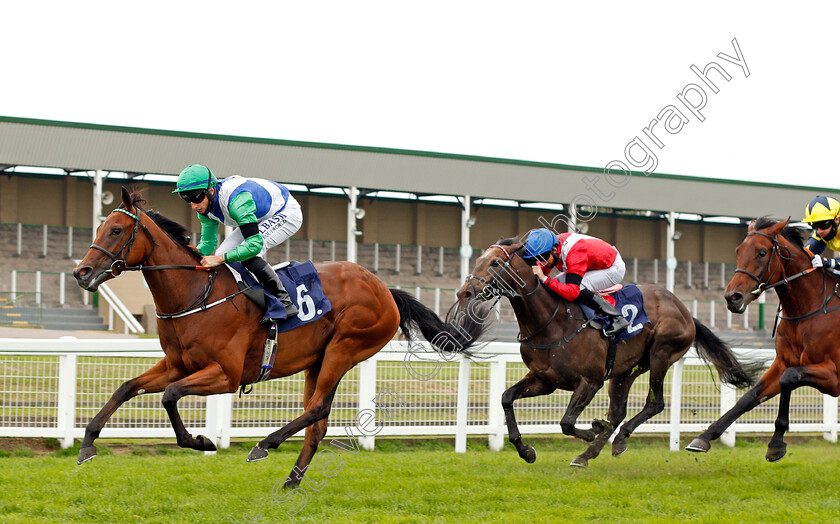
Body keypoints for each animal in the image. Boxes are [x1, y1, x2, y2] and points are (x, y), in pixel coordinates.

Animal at [73, 188, 492, 488]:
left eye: (115, 230)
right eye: (98, 228)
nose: (81, 272)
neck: (196, 295)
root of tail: (385, 289)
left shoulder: (226, 375)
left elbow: (170, 395)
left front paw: (201, 441)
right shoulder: (177, 364)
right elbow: (126, 387)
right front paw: (88, 443)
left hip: (346, 348)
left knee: (318, 409)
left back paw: (265, 444)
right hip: (317, 360)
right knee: (318, 420)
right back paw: (292, 479)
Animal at [456, 237, 756, 466]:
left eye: (495, 262)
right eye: (478, 259)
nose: (465, 292)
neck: (551, 322)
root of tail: (685, 311)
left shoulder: (590, 381)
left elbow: (566, 422)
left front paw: (593, 429)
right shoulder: (544, 380)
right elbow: (506, 398)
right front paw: (526, 450)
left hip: (661, 354)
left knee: (654, 403)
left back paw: (616, 439)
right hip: (626, 370)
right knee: (619, 411)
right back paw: (590, 453)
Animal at [684, 216, 840, 458]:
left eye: (762, 252)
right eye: (738, 250)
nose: (732, 297)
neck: (809, 310)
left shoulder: (834, 376)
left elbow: (789, 378)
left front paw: (776, 442)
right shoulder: (782, 362)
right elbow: (750, 396)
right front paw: (704, 436)